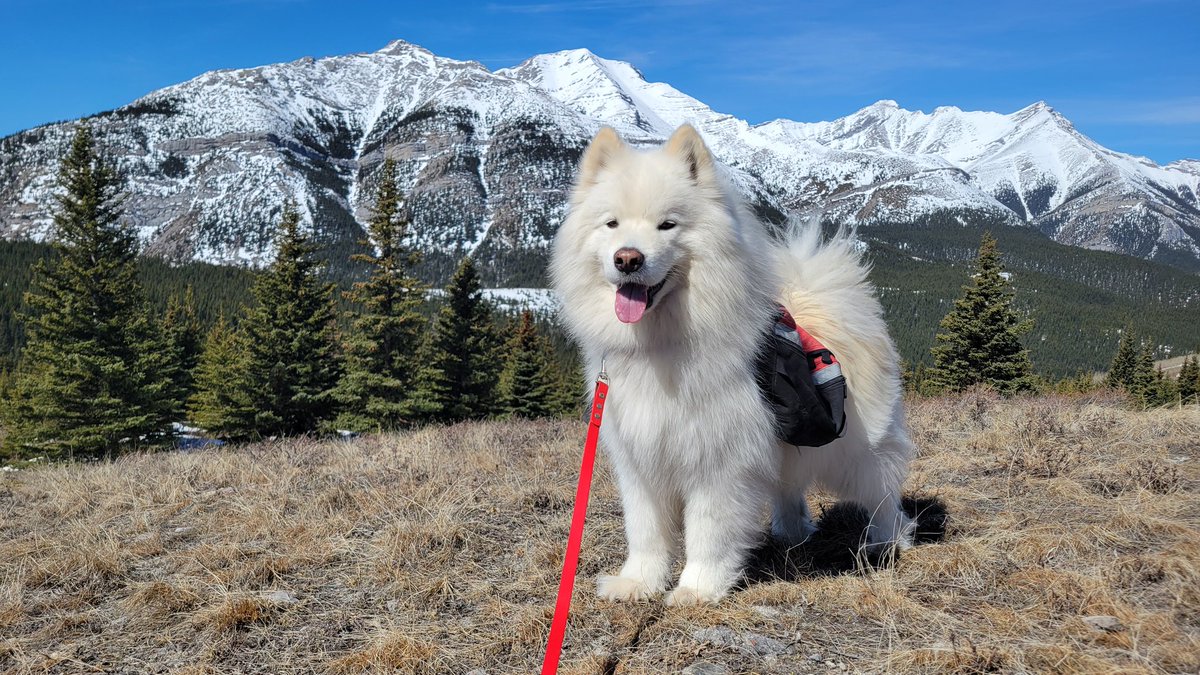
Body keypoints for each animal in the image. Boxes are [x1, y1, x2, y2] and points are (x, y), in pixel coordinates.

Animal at [552, 123, 916, 600]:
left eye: (668, 224)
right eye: (611, 224)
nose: (627, 258)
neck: (662, 345)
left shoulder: (718, 462)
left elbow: (708, 530)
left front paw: (697, 589)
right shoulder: (641, 460)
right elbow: (646, 531)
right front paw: (638, 583)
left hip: (855, 453)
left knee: (884, 494)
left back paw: (887, 540)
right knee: (789, 488)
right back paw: (791, 532)